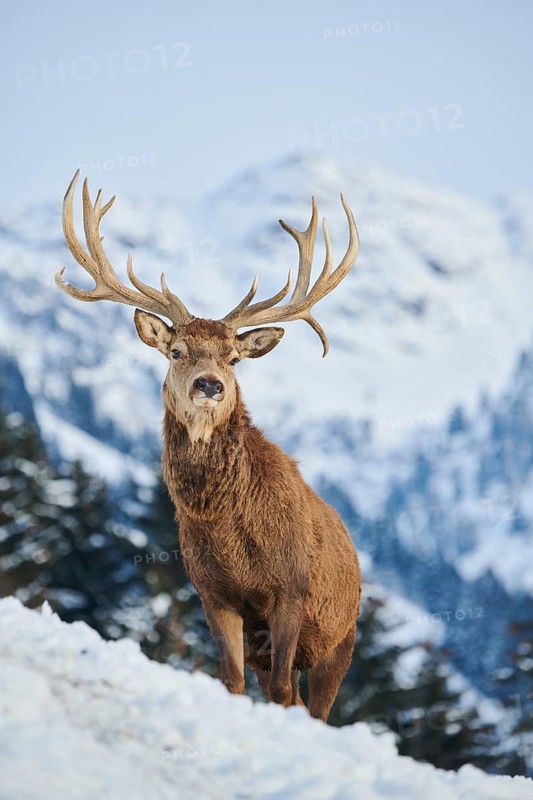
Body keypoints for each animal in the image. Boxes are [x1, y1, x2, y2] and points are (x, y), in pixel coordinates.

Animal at [56, 170, 362, 722]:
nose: (210, 385)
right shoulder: (213, 593)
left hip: (341, 638)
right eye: (176, 351)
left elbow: (281, 691)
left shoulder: (291, 588)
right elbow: (232, 682)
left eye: (234, 358)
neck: (236, 539)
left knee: (314, 706)